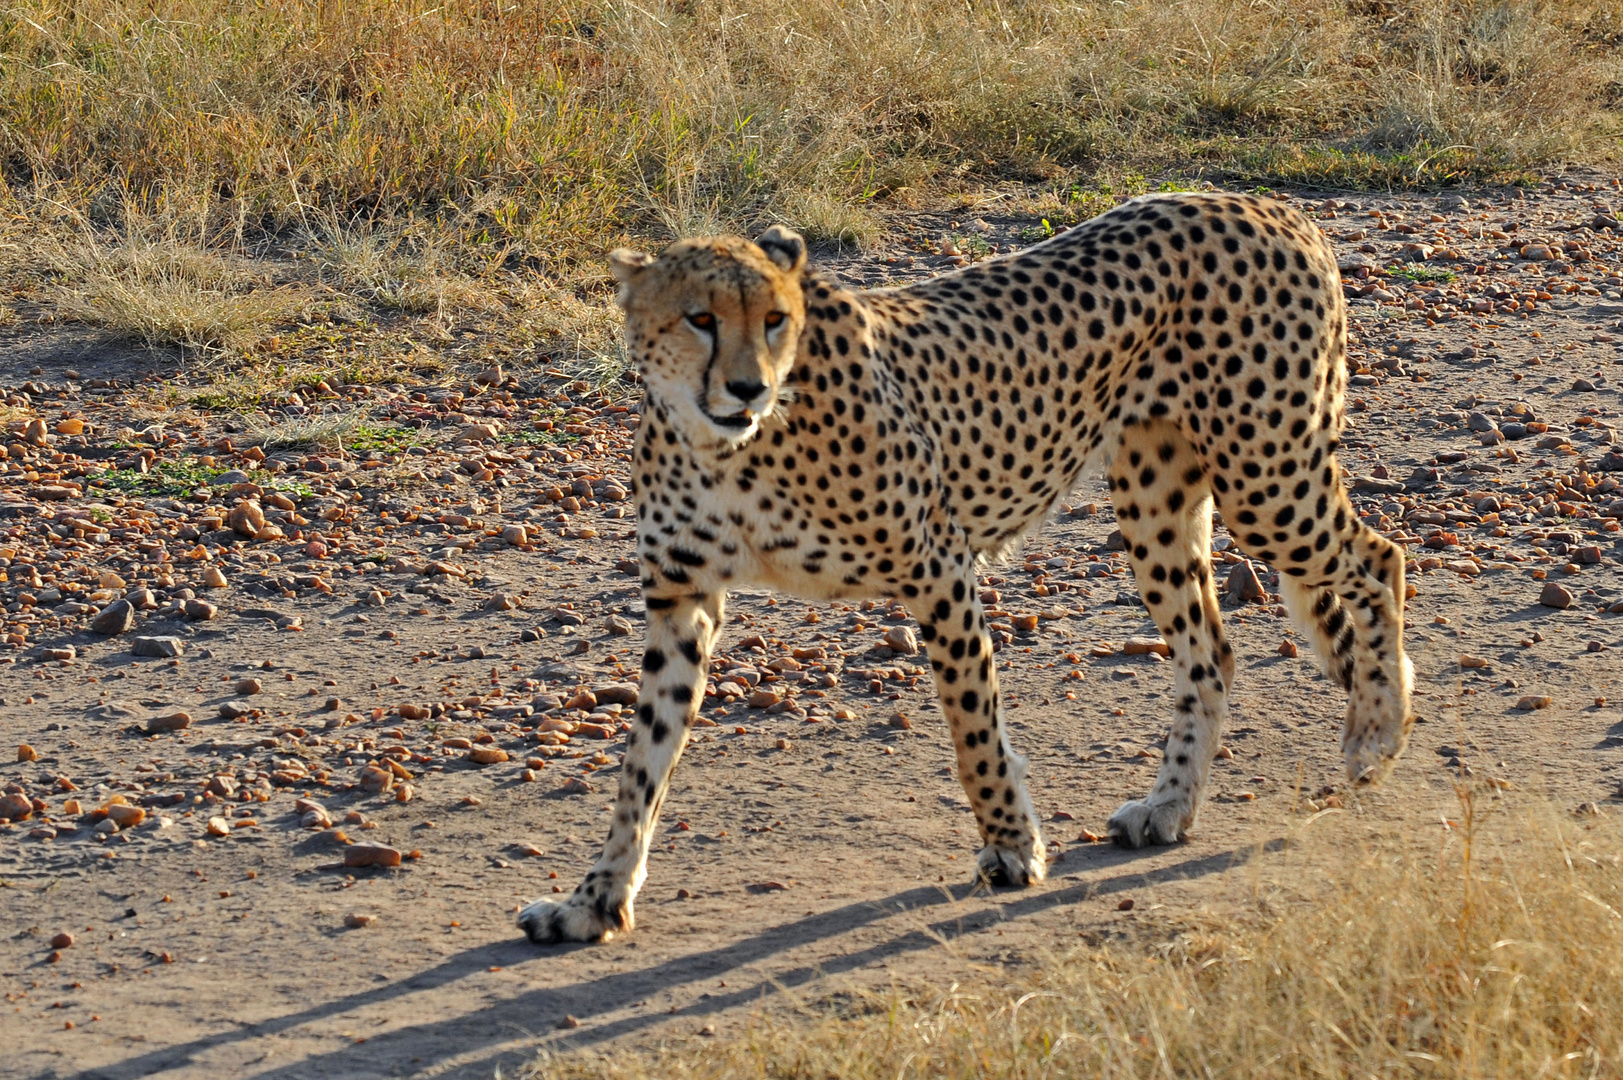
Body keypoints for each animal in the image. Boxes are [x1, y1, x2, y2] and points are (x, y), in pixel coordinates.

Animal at [519, 194, 1408, 941]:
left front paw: (1013, 848)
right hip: (1156, 496)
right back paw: (1169, 807)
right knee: (1210, 648)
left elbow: (971, 726)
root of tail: (1268, 205)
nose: (746, 387)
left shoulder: (937, 566)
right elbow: (641, 766)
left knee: (1380, 558)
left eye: (774, 320)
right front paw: (593, 899)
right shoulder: (682, 600)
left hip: (1266, 481)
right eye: (699, 317)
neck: (725, 447)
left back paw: (1375, 733)